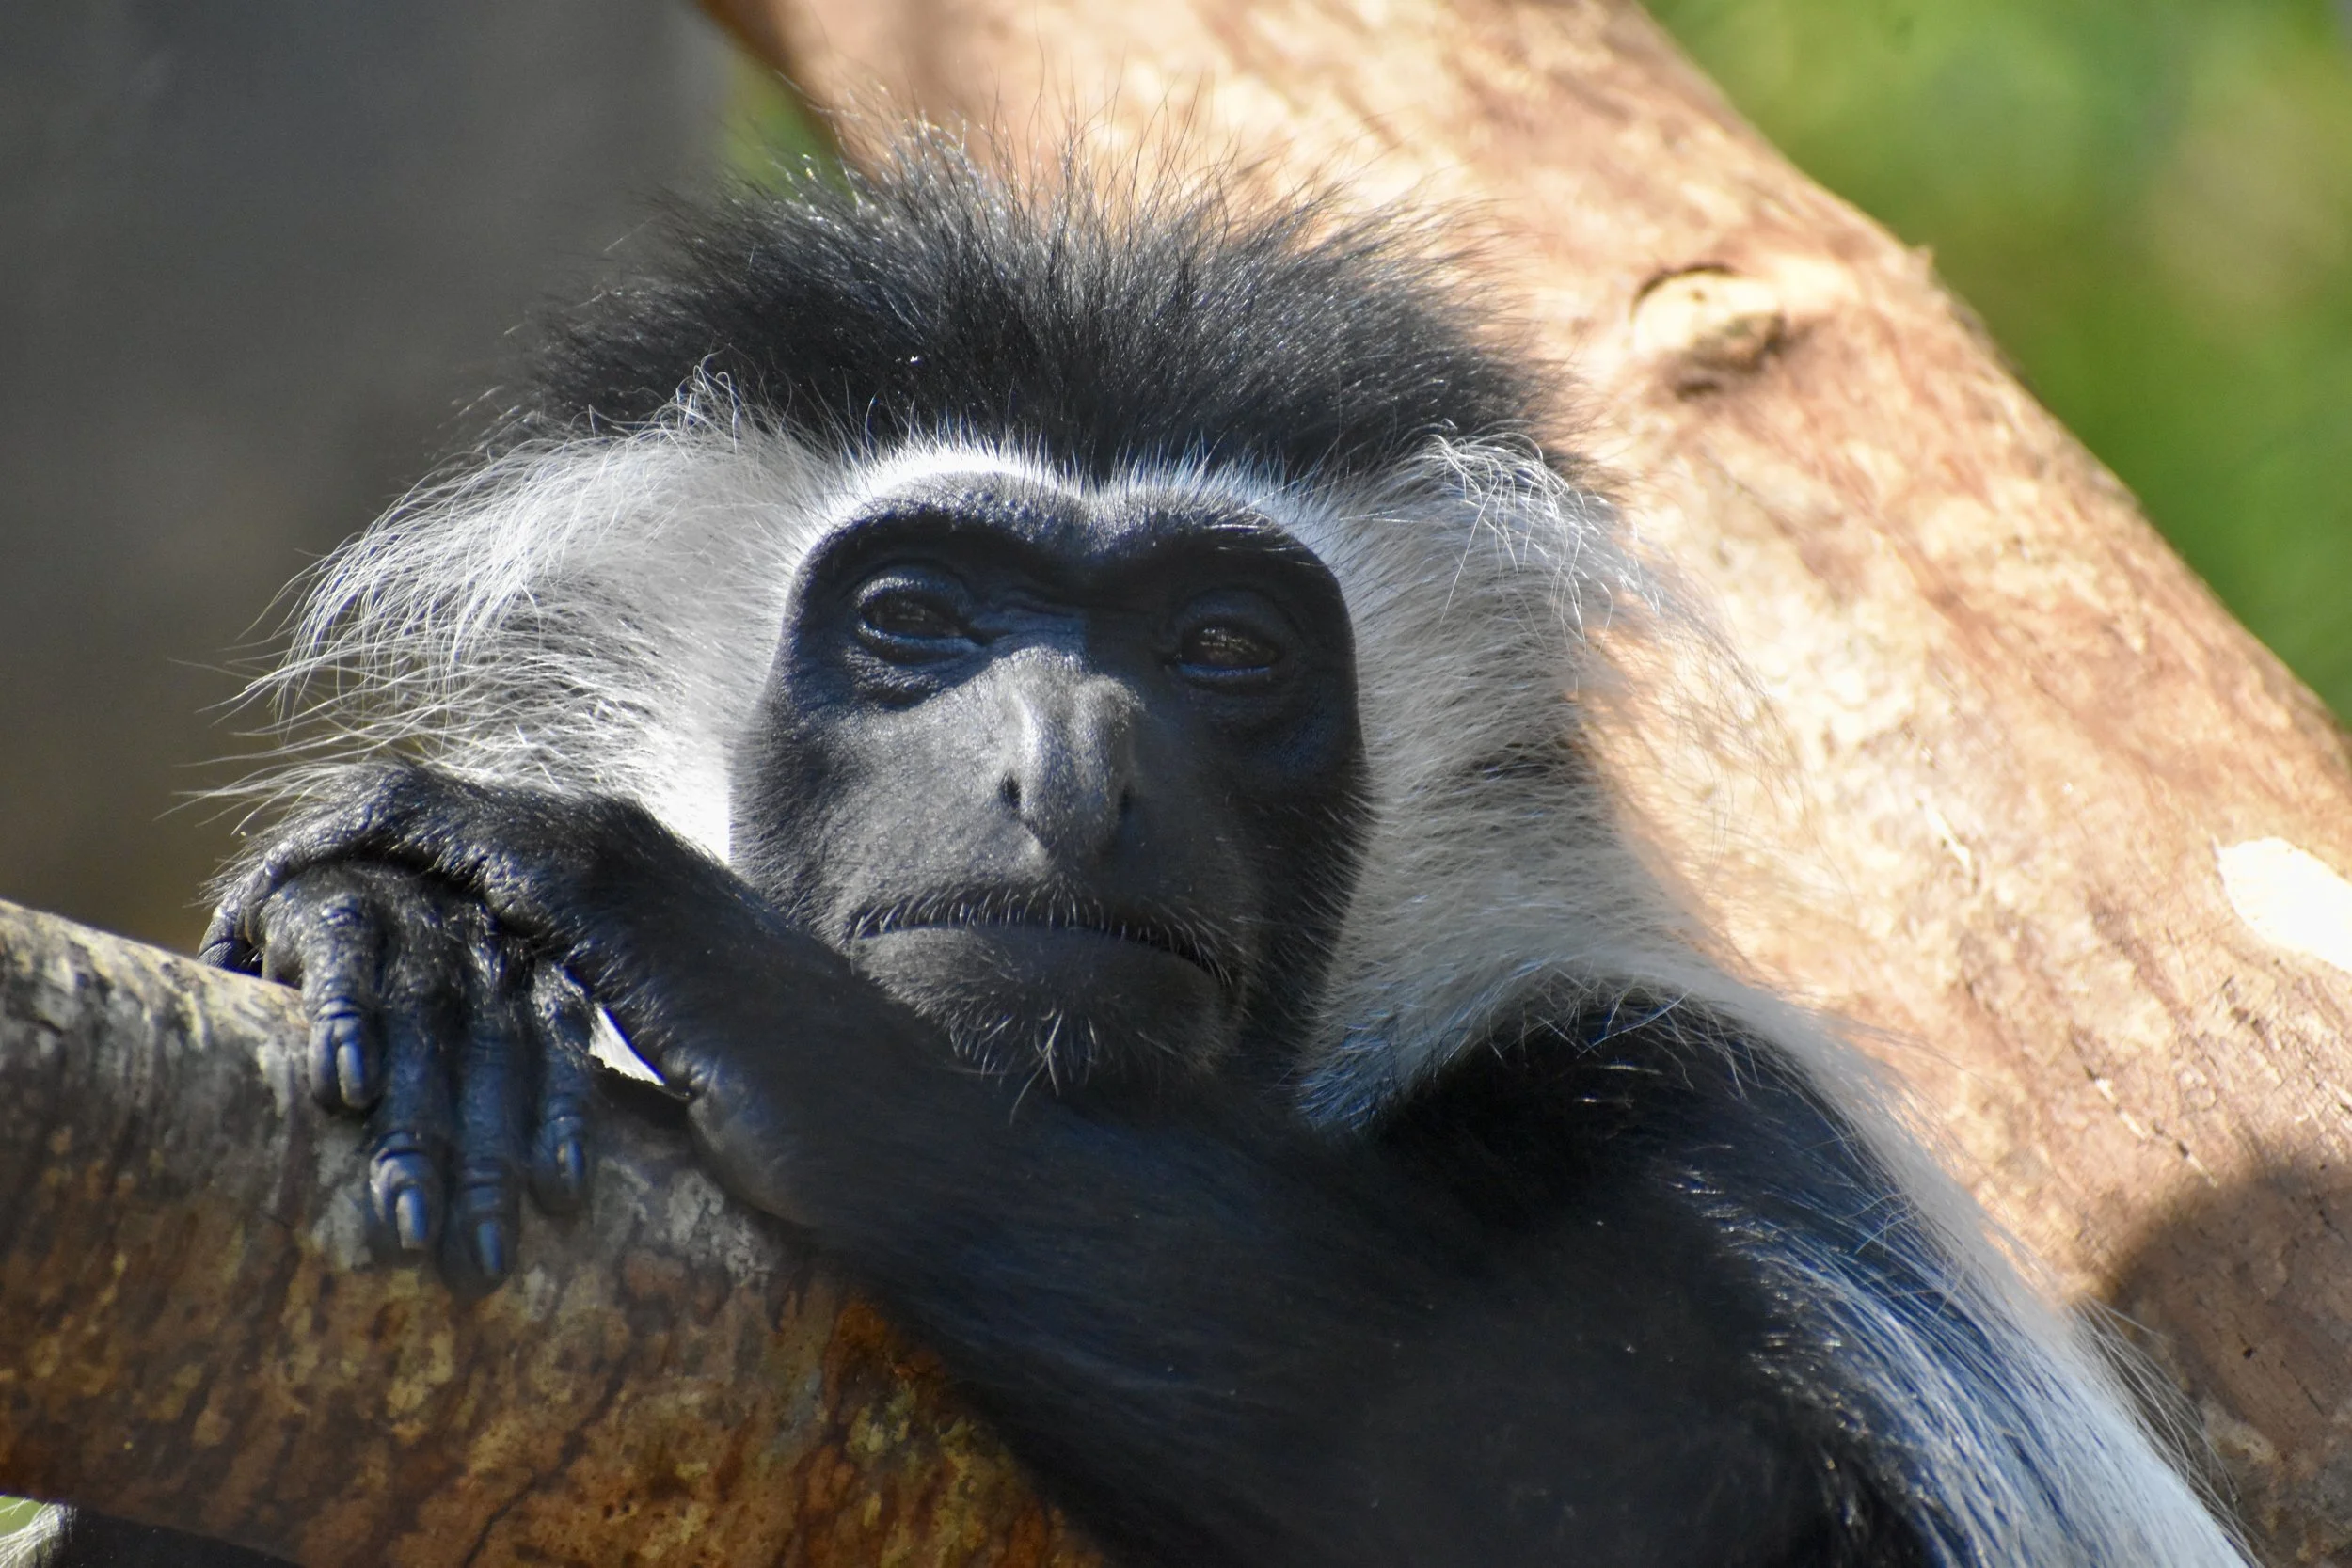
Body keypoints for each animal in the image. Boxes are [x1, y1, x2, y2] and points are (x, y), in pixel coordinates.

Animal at [29, 136, 2250, 1566]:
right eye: (915, 617)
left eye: (1225, 651)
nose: (1071, 770)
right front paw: (395, 946)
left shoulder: (1688, 1109)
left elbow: (1678, 1494)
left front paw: (654, 937)